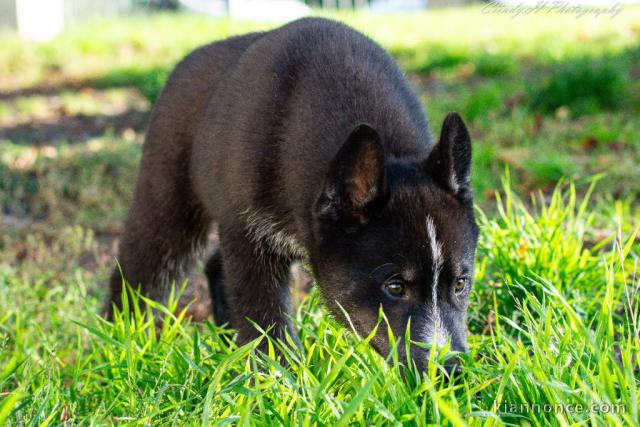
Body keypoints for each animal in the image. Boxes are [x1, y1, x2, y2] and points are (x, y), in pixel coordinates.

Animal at [106, 17, 476, 372]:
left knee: (213, 265)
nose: (451, 371)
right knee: (138, 270)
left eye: (460, 284)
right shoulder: (248, 240)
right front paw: (277, 381)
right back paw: (118, 342)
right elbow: (266, 323)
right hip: (169, 208)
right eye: (395, 286)